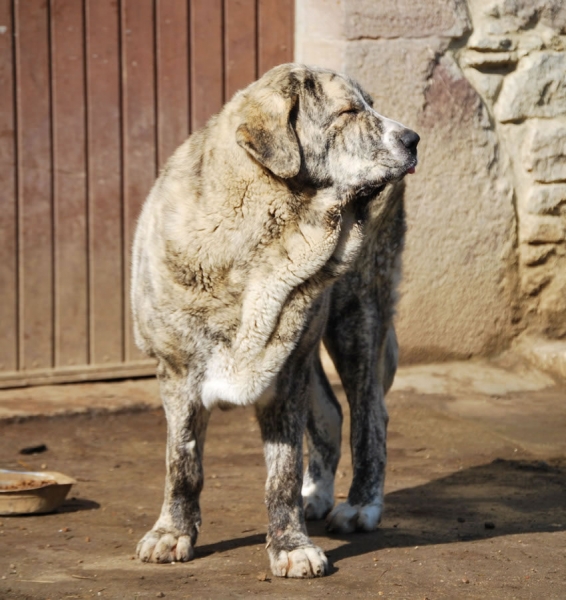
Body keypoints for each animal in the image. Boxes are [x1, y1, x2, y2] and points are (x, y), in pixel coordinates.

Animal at [131, 62, 420, 576]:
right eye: (348, 112)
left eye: (369, 107)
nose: (413, 139)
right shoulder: (179, 374)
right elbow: (182, 464)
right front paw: (172, 533)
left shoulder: (285, 375)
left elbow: (281, 473)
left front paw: (290, 545)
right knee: (332, 413)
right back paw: (317, 495)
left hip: (355, 319)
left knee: (370, 415)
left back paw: (360, 505)